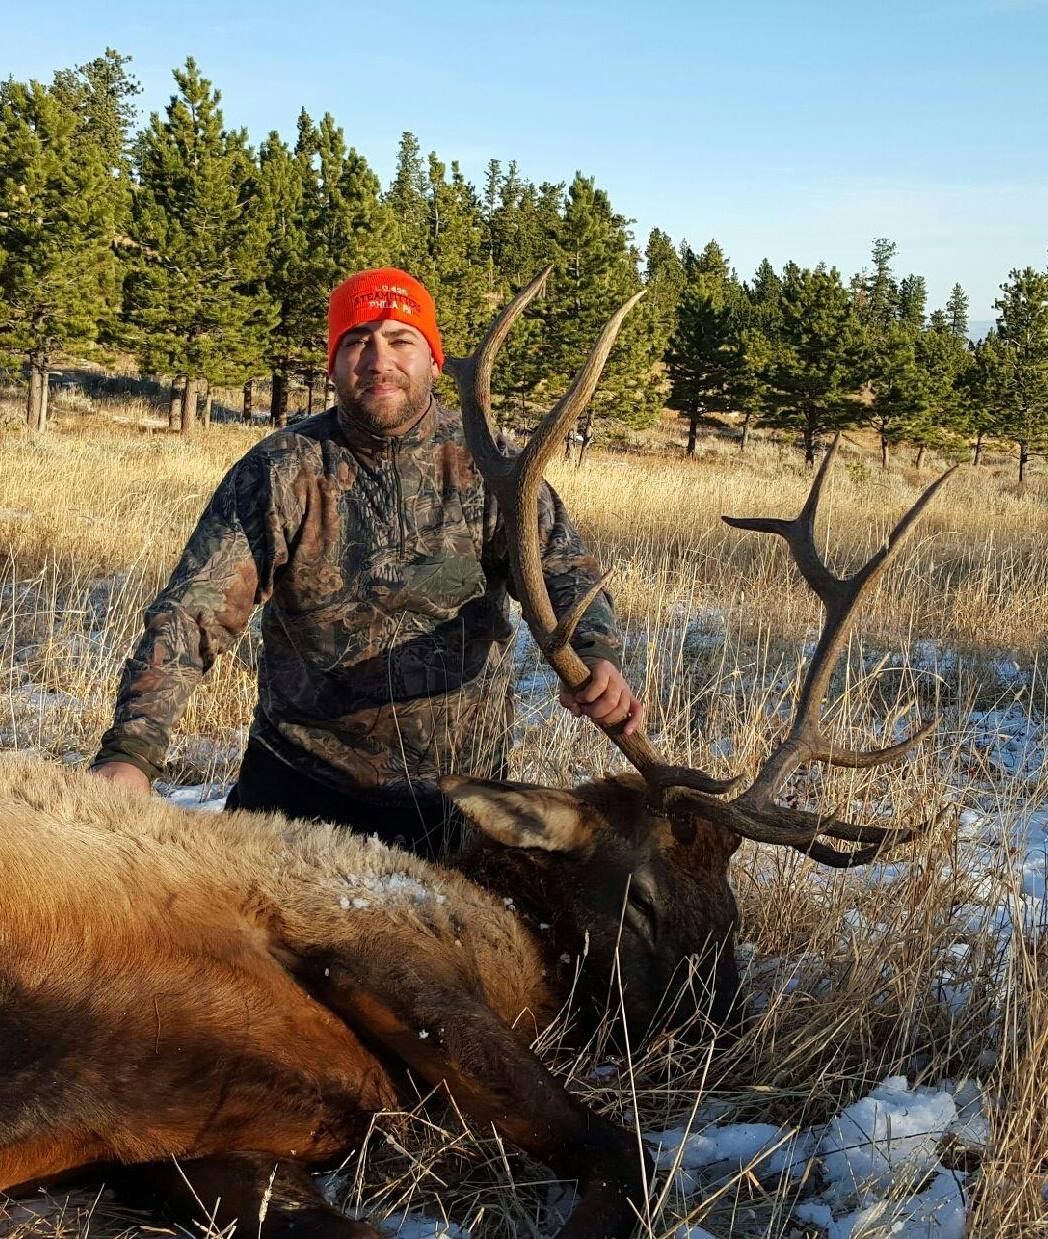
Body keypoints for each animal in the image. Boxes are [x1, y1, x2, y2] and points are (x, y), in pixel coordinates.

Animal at [0, 270, 952, 1239]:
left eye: (732, 898)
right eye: (641, 895)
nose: (722, 1033)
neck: (527, 947)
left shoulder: (200, 1148)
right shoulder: (384, 947)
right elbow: (627, 1156)